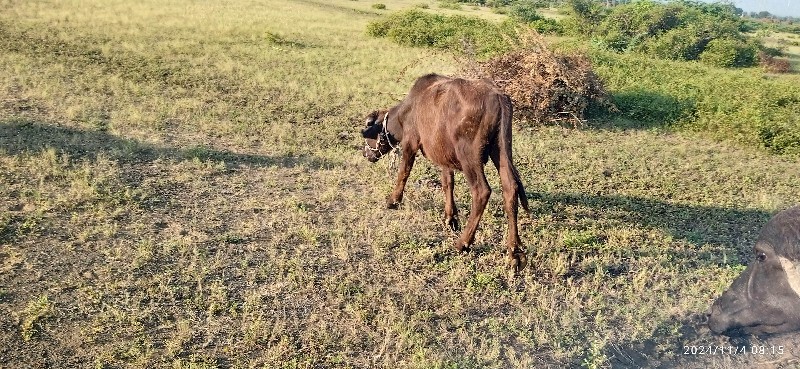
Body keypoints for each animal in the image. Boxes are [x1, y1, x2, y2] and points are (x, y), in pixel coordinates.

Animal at [362, 73, 532, 268]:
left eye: (369, 126)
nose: (365, 153)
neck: (407, 111)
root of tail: (498, 96)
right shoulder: (443, 157)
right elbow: (448, 183)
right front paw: (450, 218)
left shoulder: (410, 144)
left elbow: (403, 173)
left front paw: (393, 201)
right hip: (502, 150)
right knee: (510, 188)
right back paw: (515, 253)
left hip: (469, 157)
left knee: (481, 191)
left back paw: (463, 243)